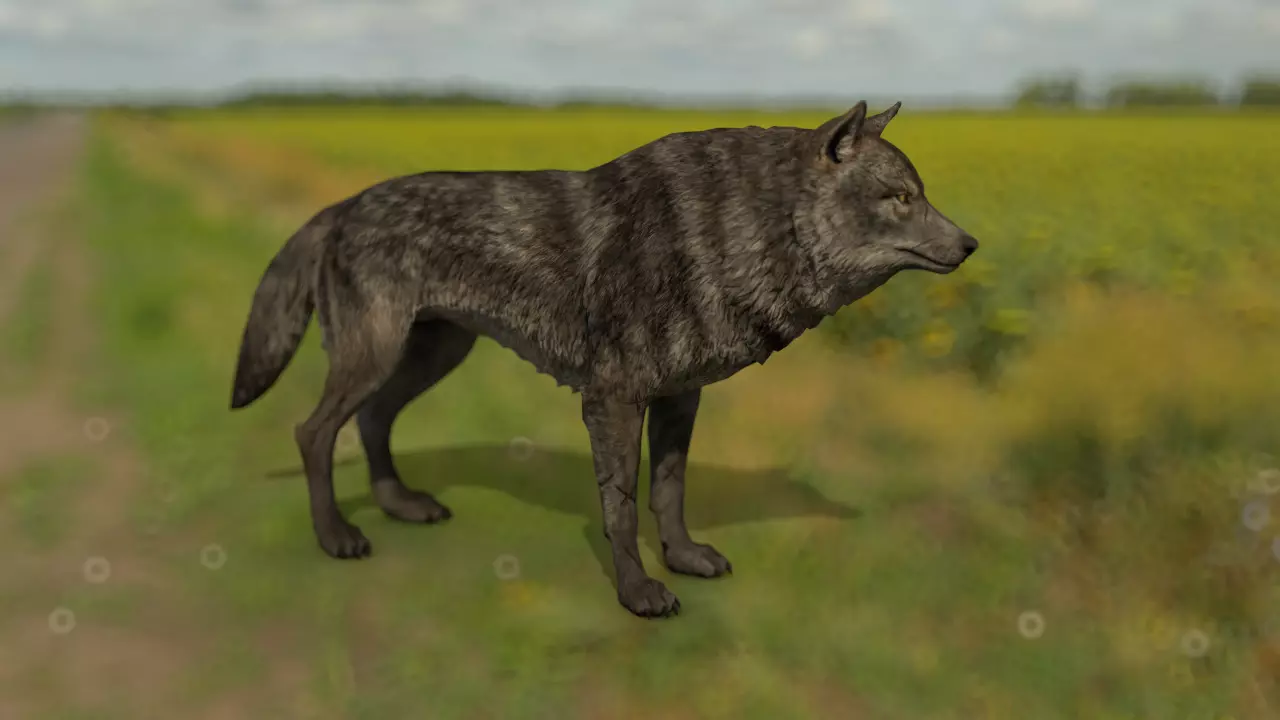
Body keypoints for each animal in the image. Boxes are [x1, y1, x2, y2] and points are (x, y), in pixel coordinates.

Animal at [230, 100, 978, 618]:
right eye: (901, 198)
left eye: (921, 193)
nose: (972, 244)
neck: (748, 227)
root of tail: (344, 204)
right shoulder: (613, 399)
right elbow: (620, 506)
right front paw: (639, 592)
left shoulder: (680, 397)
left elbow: (669, 491)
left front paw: (683, 558)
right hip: (377, 355)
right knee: (314, 431)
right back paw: (336, 535)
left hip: (430, 356)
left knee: (372, 421)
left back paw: (401, 505)